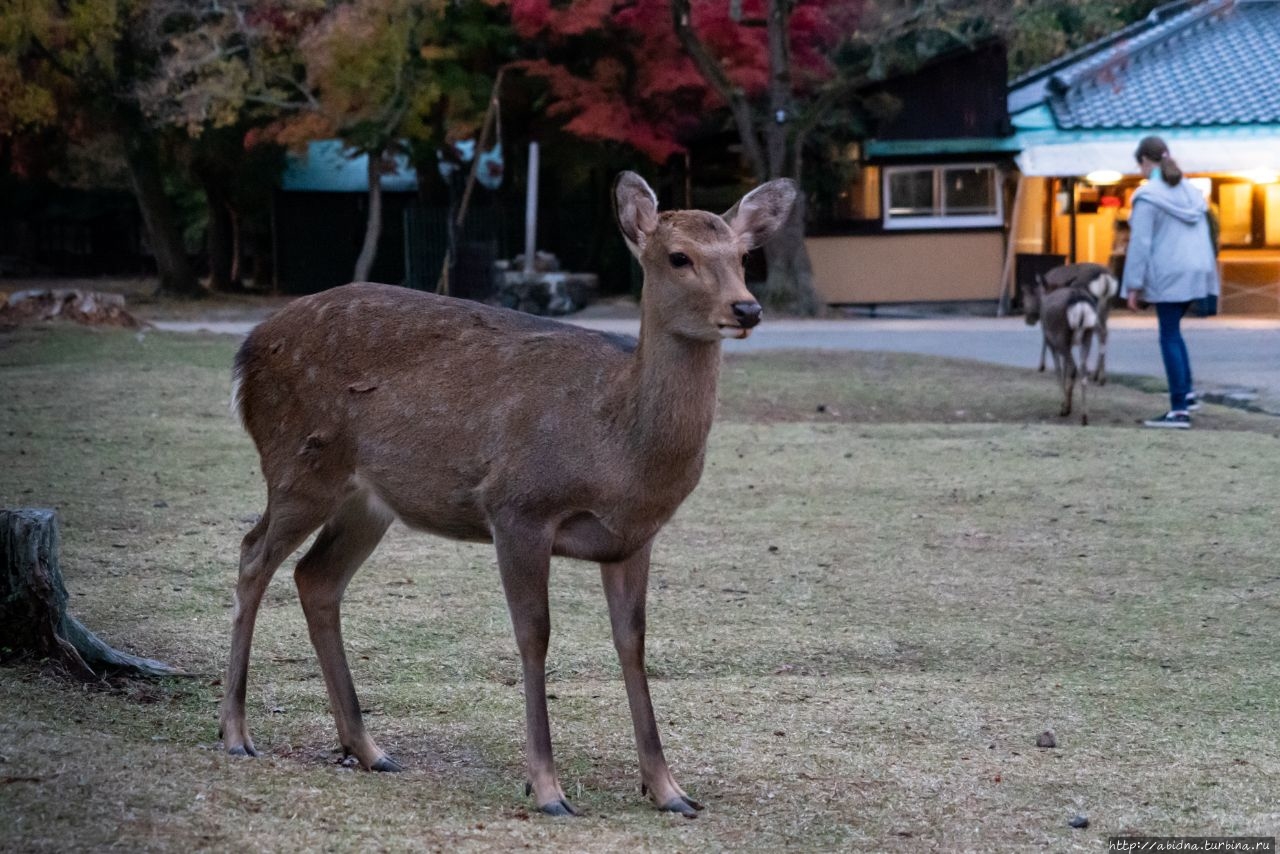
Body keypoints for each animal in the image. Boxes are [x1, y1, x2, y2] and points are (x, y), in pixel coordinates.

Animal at [221, 170, 798, 819]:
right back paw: (236, 733)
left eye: (743, 256)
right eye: (679, 256)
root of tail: (246, 352)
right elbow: (534, 634)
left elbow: (632, 641)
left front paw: (668, 789)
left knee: (315, 577)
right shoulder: (517, 506)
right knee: (253, 554)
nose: (747, 307)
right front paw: (547, 789)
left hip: (367, 501)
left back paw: (369, 749)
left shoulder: (632, 539)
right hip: (298, 465)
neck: (616, 448)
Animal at [1018, 281, 1100, 425]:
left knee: (1073, 367)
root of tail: (1079, 300)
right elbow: (1065, 369)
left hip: (1060, 335)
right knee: (1083, 369)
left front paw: (1063, 406)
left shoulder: (1051, 342)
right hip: (1087, 334)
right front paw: (1068, 403)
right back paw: (1084, 416)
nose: (1028, 320)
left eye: (1025, 298)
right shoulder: (1068, 345)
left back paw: (1067, 409)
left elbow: (1058, 370)